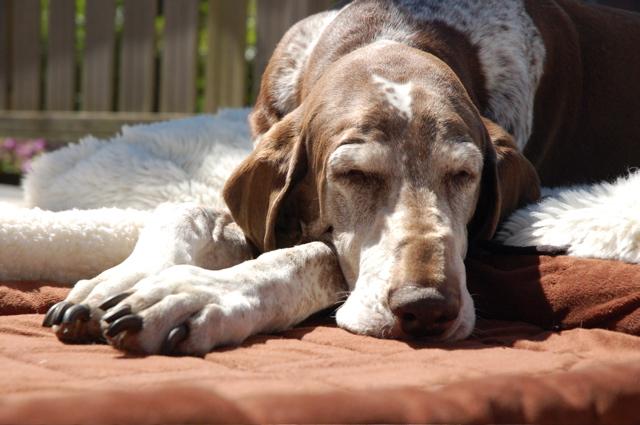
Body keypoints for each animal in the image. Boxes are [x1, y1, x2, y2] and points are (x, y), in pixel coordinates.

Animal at [43, 0, 640, 354]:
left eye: (465, 174)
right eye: (353, 174)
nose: (427, 309)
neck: (394, 30)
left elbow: (313, 254)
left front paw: (196, 295)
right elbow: (188, 211)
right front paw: (114, 282)